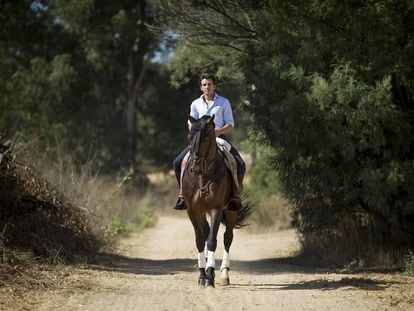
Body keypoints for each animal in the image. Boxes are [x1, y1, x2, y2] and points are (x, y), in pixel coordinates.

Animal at [182, 114, 252, 288]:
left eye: (207, 136)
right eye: (190, 136)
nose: (196, 166)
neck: (202, 177)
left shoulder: (217, 209)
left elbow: (212, 241)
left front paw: (209, 276)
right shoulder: (192, 211)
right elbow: (200, 240)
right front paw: (202, 276)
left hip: (231, 211)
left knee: (227, 238)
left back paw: (224, 274)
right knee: (207, 233)